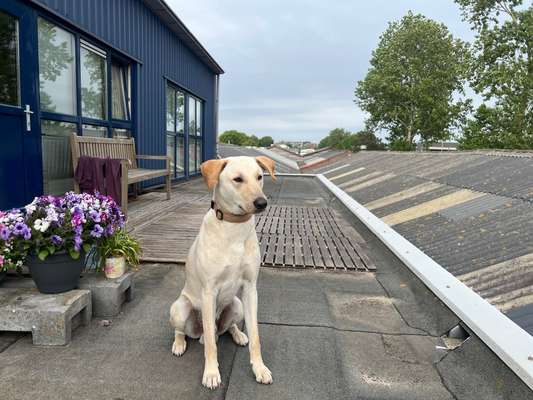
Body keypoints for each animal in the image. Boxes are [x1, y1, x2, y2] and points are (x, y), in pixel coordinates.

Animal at [169, 155, 276, 388]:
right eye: (237, 179)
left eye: (259, 177)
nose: (261, 203)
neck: (234, 226)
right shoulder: (209, 292)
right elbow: (211, 344)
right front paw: (211, 373)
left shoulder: (250, 289)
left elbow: (256, 336)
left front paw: (259, 368)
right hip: (180, 308)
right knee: (190, 331)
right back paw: (179, 343)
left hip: (236, 305)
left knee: (227, 327)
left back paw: (238, 335)